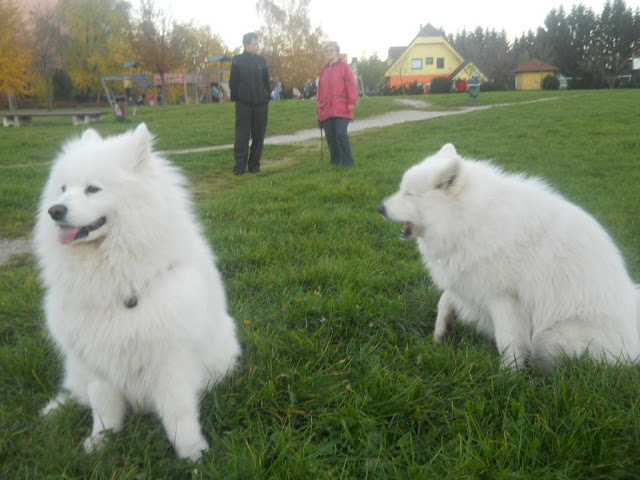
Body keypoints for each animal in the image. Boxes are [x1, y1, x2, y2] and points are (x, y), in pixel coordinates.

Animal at [35, 124, 240, 462]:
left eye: (93, 189)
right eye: (63, 188)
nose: (55, 210)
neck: (114, 274)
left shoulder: (170, 359)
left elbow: (178, 411)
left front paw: (191, 452)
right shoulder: (97, 362)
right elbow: (103, 409)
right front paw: (100, 442)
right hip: (76, 365)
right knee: (77, 391)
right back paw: (55, 409)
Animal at [380, 143, 640, 372]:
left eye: (409, 194)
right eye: (401, 189)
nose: (379, 208)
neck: (470, 219)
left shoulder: (504, 299)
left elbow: (508, 342)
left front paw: (508, 378)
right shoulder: (472, 281)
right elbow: (445, 300)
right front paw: (439, 334)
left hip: (549, 338)